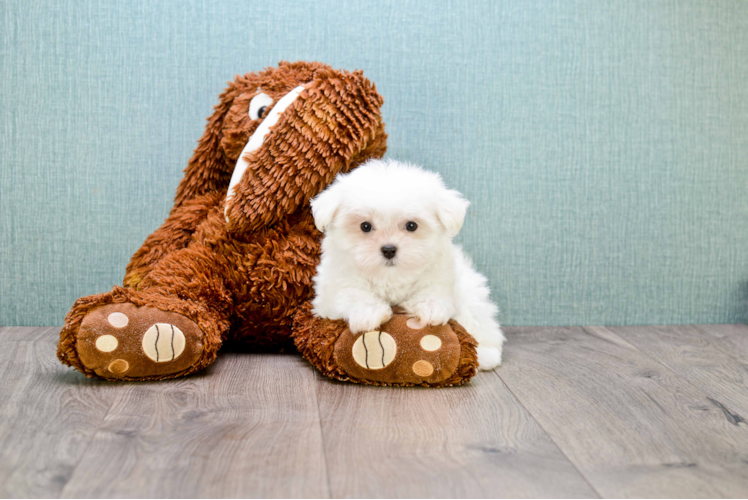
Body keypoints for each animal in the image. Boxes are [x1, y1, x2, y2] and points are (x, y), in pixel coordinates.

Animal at [306, 158, 506, 370]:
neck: (391, 276)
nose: (389, 249)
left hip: (472, 295)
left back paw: (485, 354)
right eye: (365, 226)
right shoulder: (333, 285)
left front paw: (430, 308)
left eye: (411, 225)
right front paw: (369, 312)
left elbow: (432, 290)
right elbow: (352, 292)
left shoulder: (440, 274)